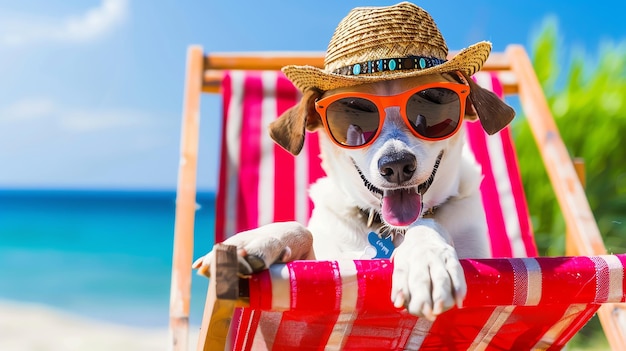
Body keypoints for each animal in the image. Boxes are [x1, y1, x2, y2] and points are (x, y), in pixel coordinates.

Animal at [191, 2, 512, 322]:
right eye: (353, 112)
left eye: (431, 104)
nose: (396, 165)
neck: (389, 229)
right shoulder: (325, 260)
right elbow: (301, 229)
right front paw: (254, 241)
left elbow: (428, 225)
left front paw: (427, 260)